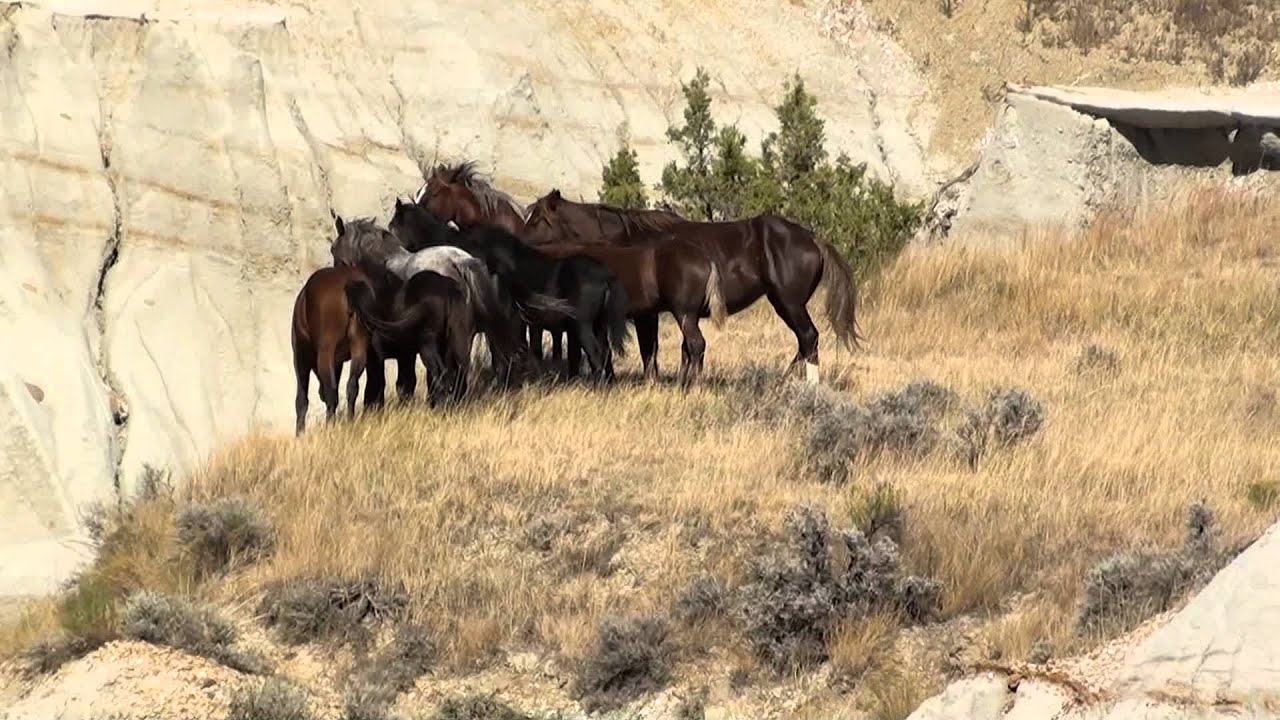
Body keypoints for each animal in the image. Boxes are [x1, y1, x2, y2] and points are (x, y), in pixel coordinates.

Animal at [290, 264, 385, 435]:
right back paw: (350, 422)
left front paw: (300, 434)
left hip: (325, 351)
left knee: (332, 392)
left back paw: (331, 426)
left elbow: (301, 399)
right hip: (359, 346)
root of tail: (349, 283)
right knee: (352, 386)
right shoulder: (338, 361)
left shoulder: (300, 358)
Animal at [345, 268, 476, 408]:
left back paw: (439, 408)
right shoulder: (406, 355)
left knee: (443, 375)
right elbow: (404, 384)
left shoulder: (377, 356)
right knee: (459, 375)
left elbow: (376, 386)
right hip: (455, 342)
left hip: (428, 345)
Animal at [387, 199, 631, 383]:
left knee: (596, 355)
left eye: (392, 227)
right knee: (605, 354)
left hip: (583, 326)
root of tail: (606, 275)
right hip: (598, 326)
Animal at [522, 196, 863, 384]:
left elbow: (648, 351)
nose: (519, 240)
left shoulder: (647, 315)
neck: (629, 243)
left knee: (809, 338)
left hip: (788, 303)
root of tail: (813, 238)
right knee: (803, 343)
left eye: (538, 219)